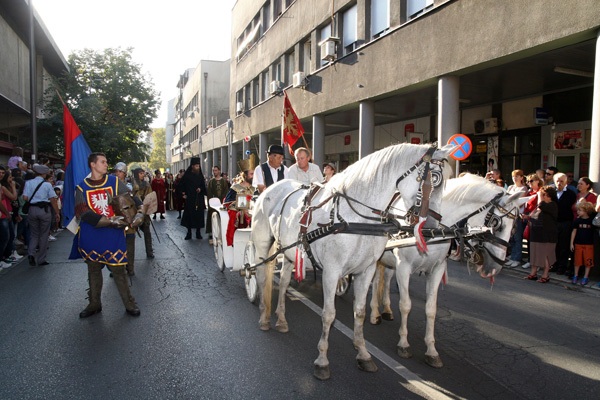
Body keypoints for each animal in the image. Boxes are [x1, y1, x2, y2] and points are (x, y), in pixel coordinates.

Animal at [248, 142, 454, 380]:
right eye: (433, 179)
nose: (432, 229)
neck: (355, 217)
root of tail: (271, 189)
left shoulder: (366, 270)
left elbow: (360, 311)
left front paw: (363, 354)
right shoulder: (331, 272)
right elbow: (329, 315)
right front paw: (322, 360)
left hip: (291, 252)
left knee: (282, 283)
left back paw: (281, 319)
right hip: (262, 244)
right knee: (261, 276)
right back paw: (263, 315)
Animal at [368, 173, 524, 368]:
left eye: (515, 227)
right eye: (497, 224)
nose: (495, 267)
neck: (430, 226)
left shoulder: (437, 269)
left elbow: (431, 309)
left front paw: (431, 350)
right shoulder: (404, 268)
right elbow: (405, 305)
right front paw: (403, 343)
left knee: (386, 279)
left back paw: (387, 310)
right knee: (375, 282)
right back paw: (374, 313)